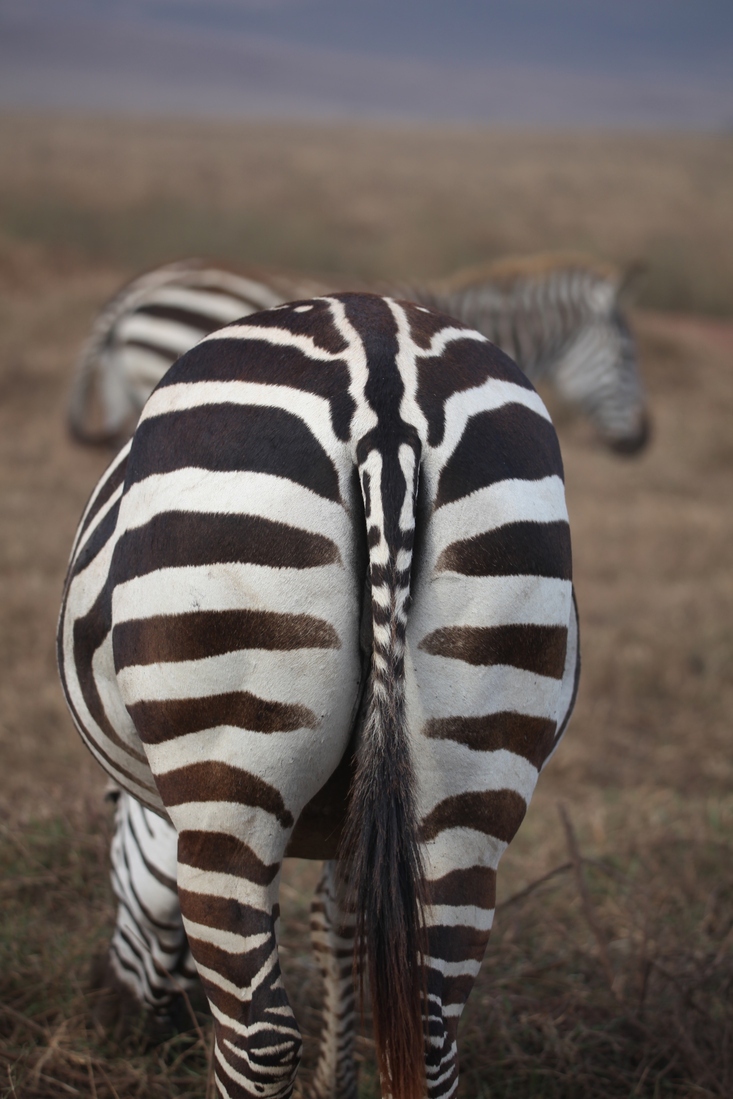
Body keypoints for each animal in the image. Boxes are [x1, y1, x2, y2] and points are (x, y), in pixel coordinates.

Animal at [58, 292, 580, 1099]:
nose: (113, 1020)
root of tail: (385, 387)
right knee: (432, 1031)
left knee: (259, 1039)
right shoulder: (361, 818)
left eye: (113, 831)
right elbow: (345, 931)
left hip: (227, 763)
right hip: (476, 761)